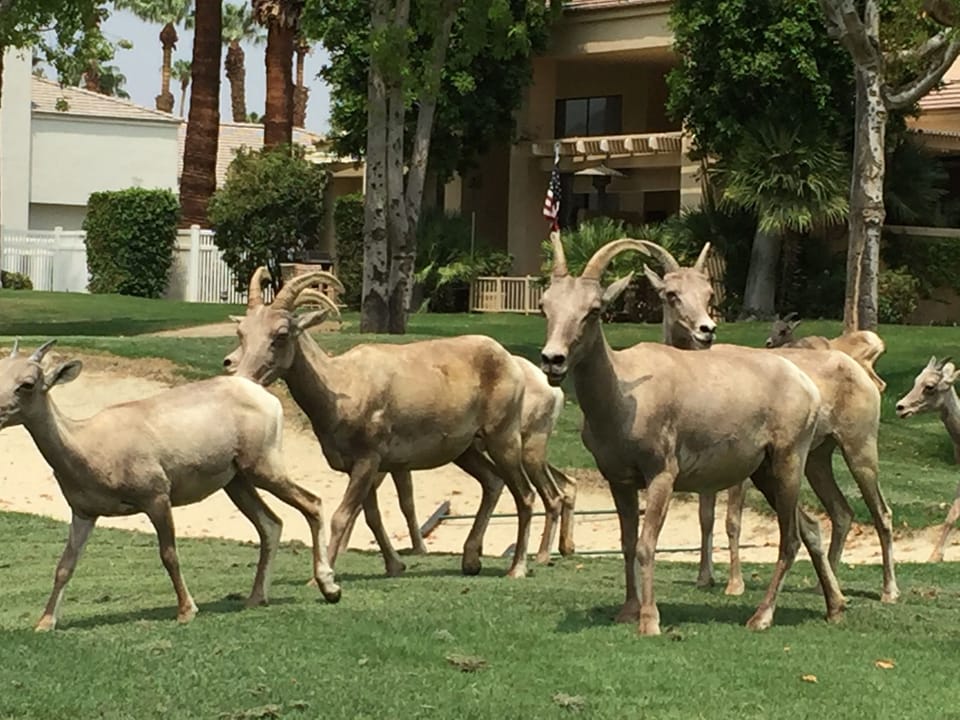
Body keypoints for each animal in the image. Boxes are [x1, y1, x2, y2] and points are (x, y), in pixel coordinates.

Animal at [0, 339, 341, 631]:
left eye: (27, 383)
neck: (89, 446)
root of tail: (265, 397)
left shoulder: (156, 497)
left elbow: (169, 555)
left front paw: (186, 611)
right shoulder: (84, 512)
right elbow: (65, 565)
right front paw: (45, 623)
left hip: (264, 467)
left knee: (312, 503)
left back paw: (330, 588)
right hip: (237, 481)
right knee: (271, 523)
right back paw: (256, 598)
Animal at [223, 269, 559, 579]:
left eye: (281, 334)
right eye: (242, 332)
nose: (241, 375)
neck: (341, 387)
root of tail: (511, 363)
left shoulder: (368, 459)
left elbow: (342, 515)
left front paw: (322, 577)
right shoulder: (362, 466)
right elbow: (371, 516)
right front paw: (395, 565)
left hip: (503, 437)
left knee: (525, 494)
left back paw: (517, 568)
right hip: (465, 450)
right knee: (492, 482)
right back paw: (470, 560)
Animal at [539, 233, 845, 635]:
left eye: (593, 310)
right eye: (545, 307)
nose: (552, 360)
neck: (623, 399)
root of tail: (807, 387)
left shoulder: (662, 476)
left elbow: (647, 545)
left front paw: (650, 621)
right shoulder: (619, 480)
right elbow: (627, 542)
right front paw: (628, 611)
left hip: (788, 462)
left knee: (791, 538)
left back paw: (761, 617)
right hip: (765, 473)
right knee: (808, 528)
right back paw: (835, 607)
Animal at [638, 240, 897, 603]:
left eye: (708, 294)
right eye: (671, 293)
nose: (706, 330)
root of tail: (859, 370)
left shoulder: (741, 472)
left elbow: (732, 520)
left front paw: (734, 584)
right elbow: (706, 517)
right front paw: (704, 578)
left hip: (859, 450)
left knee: (881, 513)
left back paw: (889, 591)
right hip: (816, 460)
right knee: (842, 512)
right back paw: (825, 586)